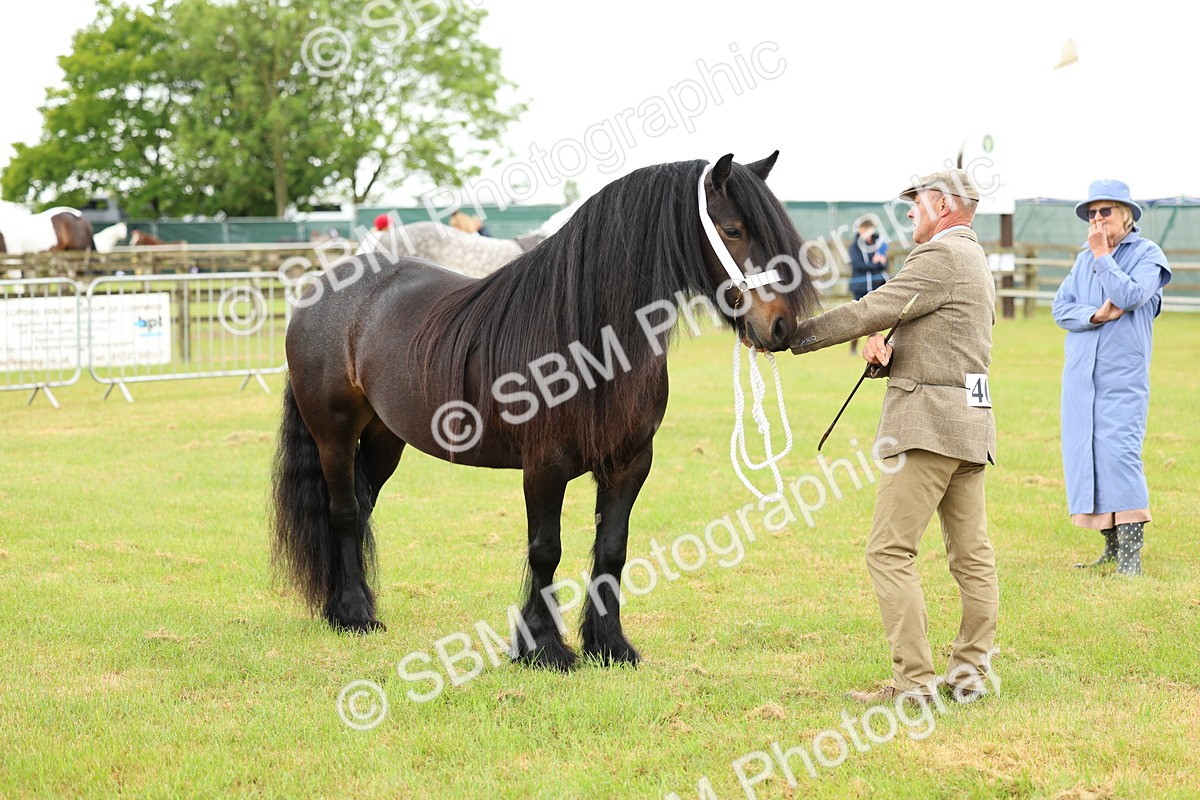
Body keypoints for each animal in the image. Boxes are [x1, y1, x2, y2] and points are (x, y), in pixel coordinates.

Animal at [271, 152, 818, 670]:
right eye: (733, 230)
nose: (781, 327)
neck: (590, 339)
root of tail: (327, 284)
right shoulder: (544, 465)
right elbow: (545, 550)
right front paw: (543, 649)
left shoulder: (630, 463)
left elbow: (612, 548)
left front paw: (609, 645)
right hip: (334, 435)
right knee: (343, 512)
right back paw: (353, 615)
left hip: (385, 439)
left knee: (362, 508)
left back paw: (345, 607)